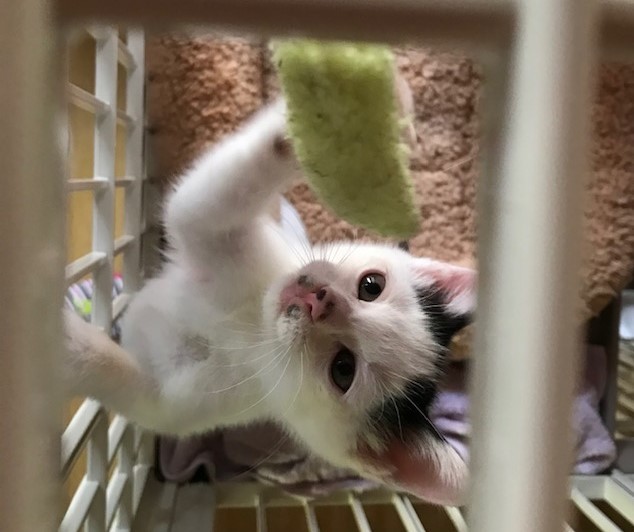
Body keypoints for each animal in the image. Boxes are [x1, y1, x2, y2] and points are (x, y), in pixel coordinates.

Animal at [63, 98, 476, 506]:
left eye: (343, 369)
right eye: (371, 285)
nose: (322, 301)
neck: (251, 325)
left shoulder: (174, 405)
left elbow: (123, 382)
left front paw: (66, 341)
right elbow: (200, 207)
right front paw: (320, 129)